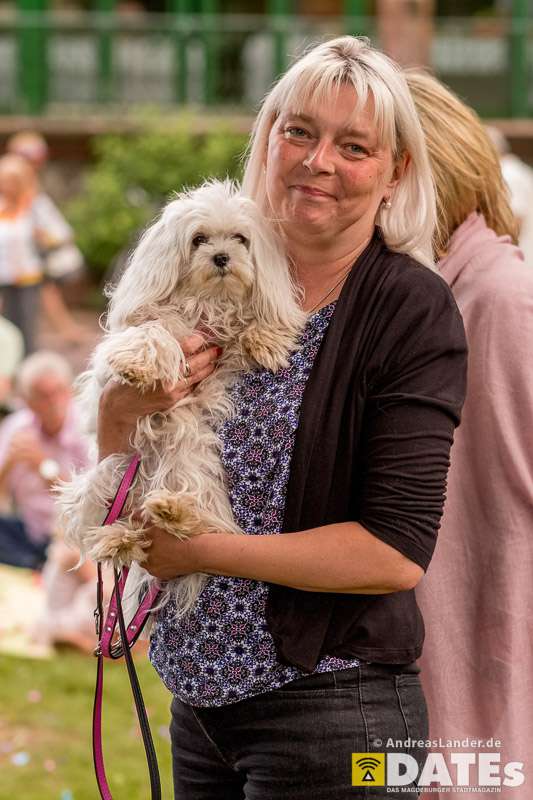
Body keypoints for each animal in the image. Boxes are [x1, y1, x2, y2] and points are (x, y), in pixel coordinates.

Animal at [55, 180, 304, 620]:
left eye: (240, 239)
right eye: (198, 239)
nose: (221, 257)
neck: (208, 301)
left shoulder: (222, 352)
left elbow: (248, 329)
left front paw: (265, 338)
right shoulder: (156, 325)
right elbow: (154, 333)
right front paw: (138, 364)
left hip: (190, 459)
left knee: (184, 516)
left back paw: (173, 513)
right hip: (113, 471)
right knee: (121, 523)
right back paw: (118, 539)